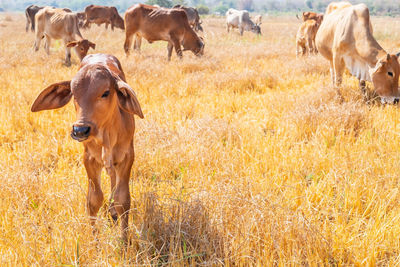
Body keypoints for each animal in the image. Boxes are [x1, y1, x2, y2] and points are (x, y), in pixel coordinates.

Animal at [30, 53, 144, 244]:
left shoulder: (127, 157)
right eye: (74, 94)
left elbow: (122, 199)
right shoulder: (89, 159)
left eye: (105, 93)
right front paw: (94, 240)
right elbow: (94, 200)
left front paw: (124, 240)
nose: (80, 130)